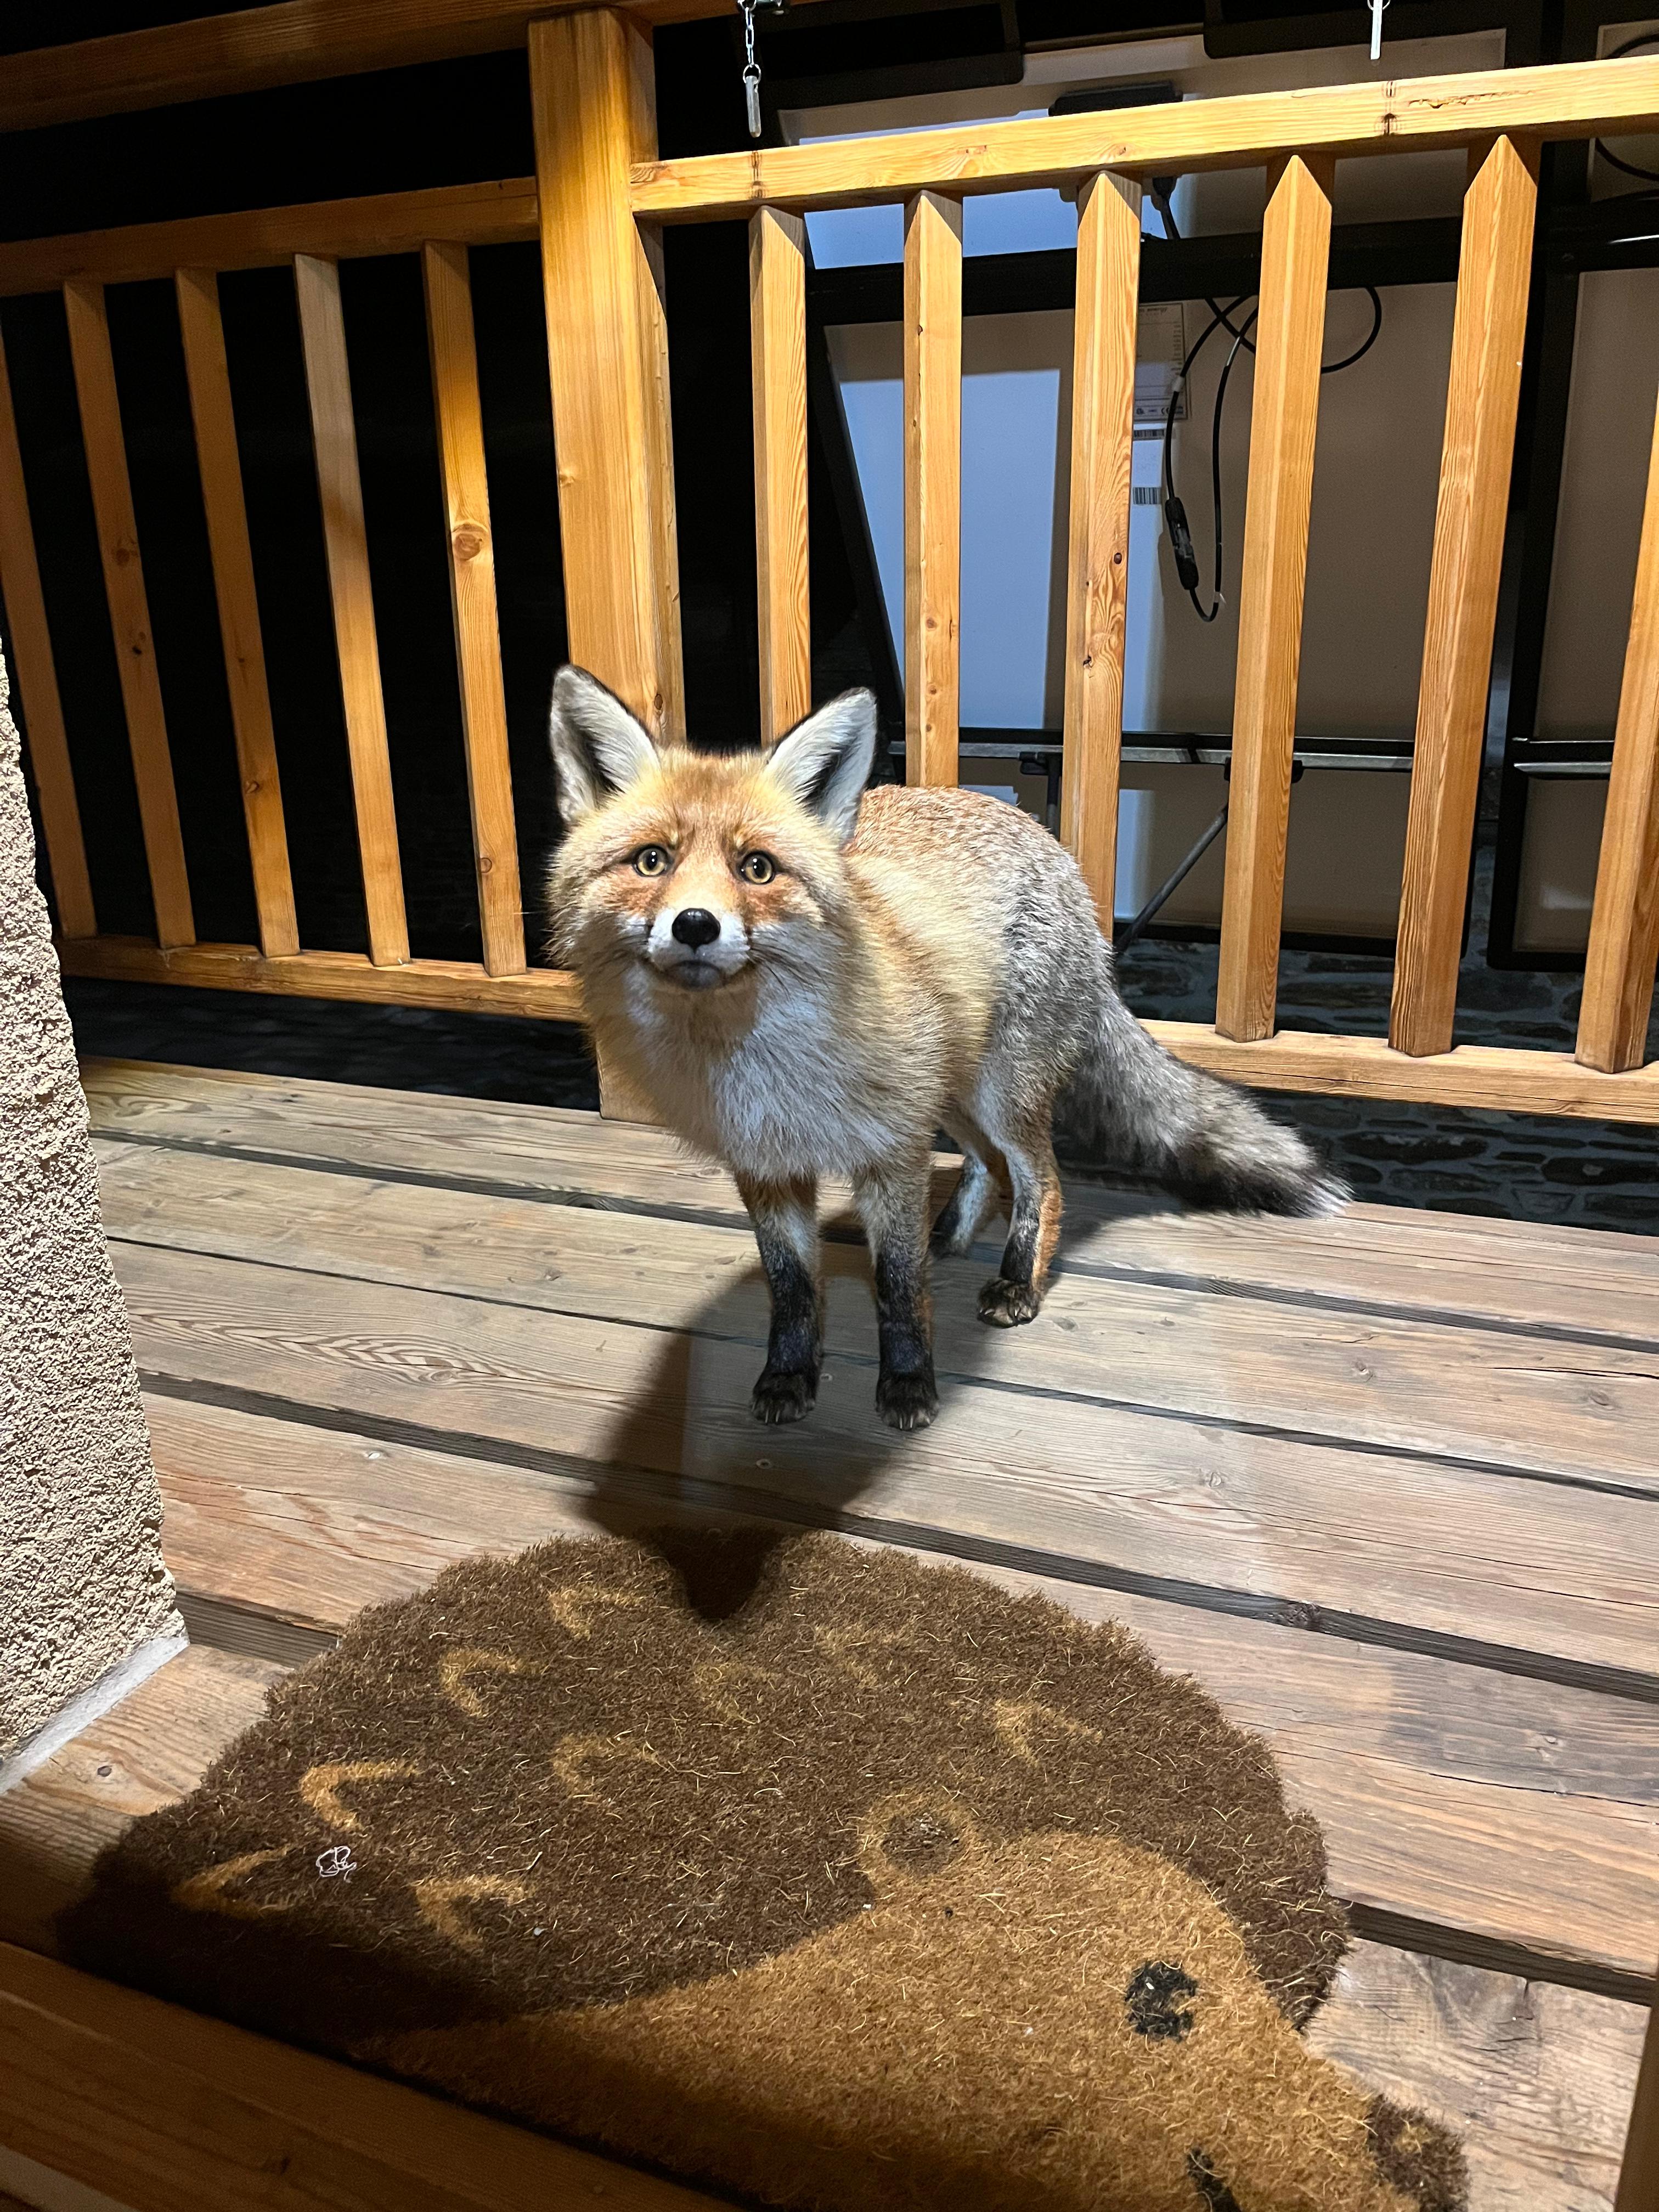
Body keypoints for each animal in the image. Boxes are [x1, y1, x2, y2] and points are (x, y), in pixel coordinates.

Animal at [546, 666, 1346, 1435]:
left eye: (758, 869)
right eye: (652, 861)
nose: (695, 925)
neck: (767, 1061)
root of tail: (1054, 851)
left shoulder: (892, 1153)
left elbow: (901, 1289)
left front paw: (908, 1384)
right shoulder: (767, 1168)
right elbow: (792, 1289)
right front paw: (789, 1376)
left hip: (1000, 1093)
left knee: (1041, 1179)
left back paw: (1020, 1281)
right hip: (953, 1093)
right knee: (987, 1166)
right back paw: (954, 1236)